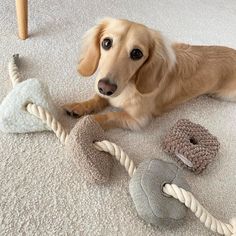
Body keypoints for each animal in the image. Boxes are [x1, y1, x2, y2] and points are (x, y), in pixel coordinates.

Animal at [62, 17, 236, 130]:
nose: (105, 87)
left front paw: (87, 123)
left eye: (137, 53)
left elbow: (109, 116)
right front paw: (78, 106)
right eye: (106, 43)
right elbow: (96, 99)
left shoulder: (137, 120)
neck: (129, 86)